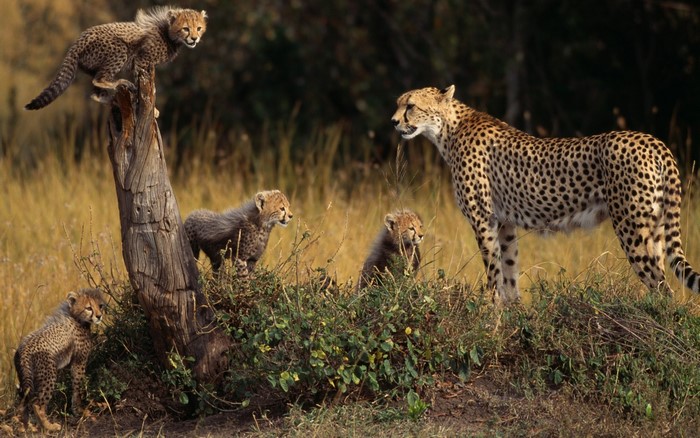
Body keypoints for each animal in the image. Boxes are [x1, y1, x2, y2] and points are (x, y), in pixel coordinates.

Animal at [14, 288, 106, 432]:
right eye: (89, 308)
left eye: (100, 305)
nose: (99, 316)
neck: (76, 317)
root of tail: (23, 349)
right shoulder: (79, 362)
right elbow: (78, 386)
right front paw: (80, 411)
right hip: (48, 376)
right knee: (37, 403)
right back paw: (48, 426)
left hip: (27, 377)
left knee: (25, 401)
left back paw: (27, 426)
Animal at [25, 6, 207, 110]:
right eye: (185, 29)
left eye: (199, 28)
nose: (194, 39)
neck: (168, 33)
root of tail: (77, 41)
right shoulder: (142, 59)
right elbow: (142, 82)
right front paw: (152, 109)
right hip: (120, 49)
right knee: (99, 79)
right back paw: (121, 83)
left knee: (95, 92)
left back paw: (109, 97)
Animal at [392, 85, 700, 305]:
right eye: (398, 104)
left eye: (411, 106)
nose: (394, 122)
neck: (447, 130)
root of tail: (653, 140)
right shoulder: (505, 224)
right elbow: (509, 271)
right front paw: (512, 314)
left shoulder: (483, 220)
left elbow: (493, 272)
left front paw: (490, 313)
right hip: (655, 228)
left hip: (631, 228)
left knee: (662, 288)